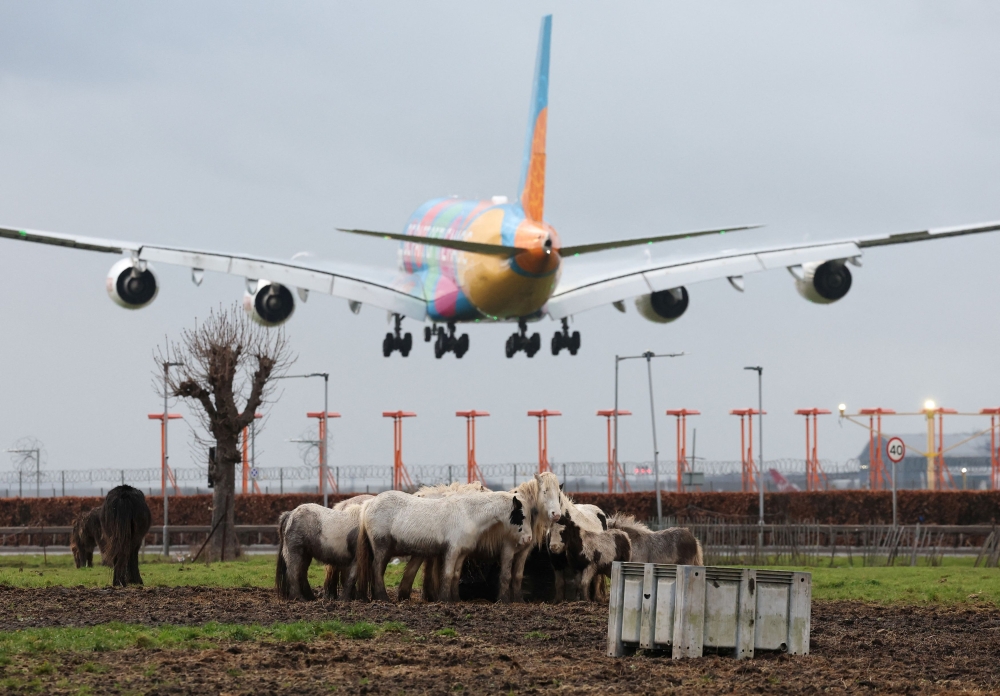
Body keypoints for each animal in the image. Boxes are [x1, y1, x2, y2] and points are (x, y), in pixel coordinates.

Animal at [348, 488, 532, 603]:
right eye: (521, 515)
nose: (528, 539)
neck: (469, 513)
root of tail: (369, 504)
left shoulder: (462, 553)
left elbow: (456, 575)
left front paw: (456, 599)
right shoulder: (452, 550)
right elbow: (448, 574)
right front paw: (444, 599)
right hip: (382, 547)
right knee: (377, 569)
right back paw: (382, 597)